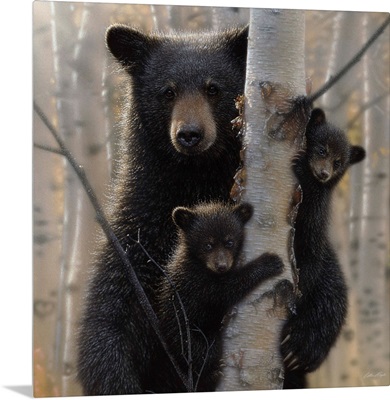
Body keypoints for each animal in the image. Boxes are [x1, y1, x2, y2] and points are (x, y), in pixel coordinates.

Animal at [76, 25, 247, 396]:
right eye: (167, 92)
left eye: (213, 88)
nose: (190, 134)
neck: (195, 181)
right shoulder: (138, 234)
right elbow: (109, 320)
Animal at [152, 202, 284, 392]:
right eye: (208, 245)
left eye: (230, 242)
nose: (221, 265)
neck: (199, 264)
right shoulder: (196, 282)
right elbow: (225, 290)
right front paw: (268, 263)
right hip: (187, 335)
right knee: (203, 352)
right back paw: (212, 373)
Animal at [282, 108, 364, 390]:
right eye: (320, 149)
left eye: (339, 162)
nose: (324, 173)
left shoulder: (314, 222)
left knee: (330, 305)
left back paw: (298, 350)